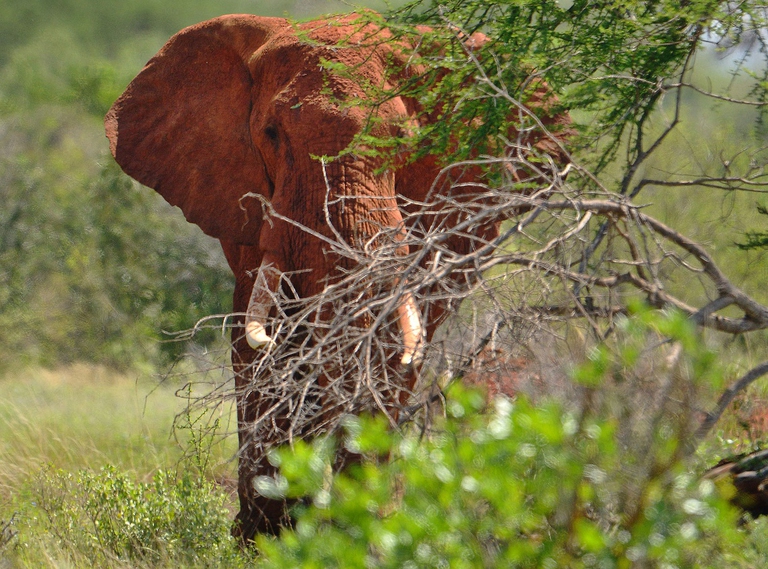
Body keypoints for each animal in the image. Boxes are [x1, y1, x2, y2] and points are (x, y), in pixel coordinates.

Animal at [105, 12, 572, 541]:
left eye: (406, 141)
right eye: (271, 133)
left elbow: (392, 346)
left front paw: (357, 531)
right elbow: (261, 344)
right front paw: (268, 538)